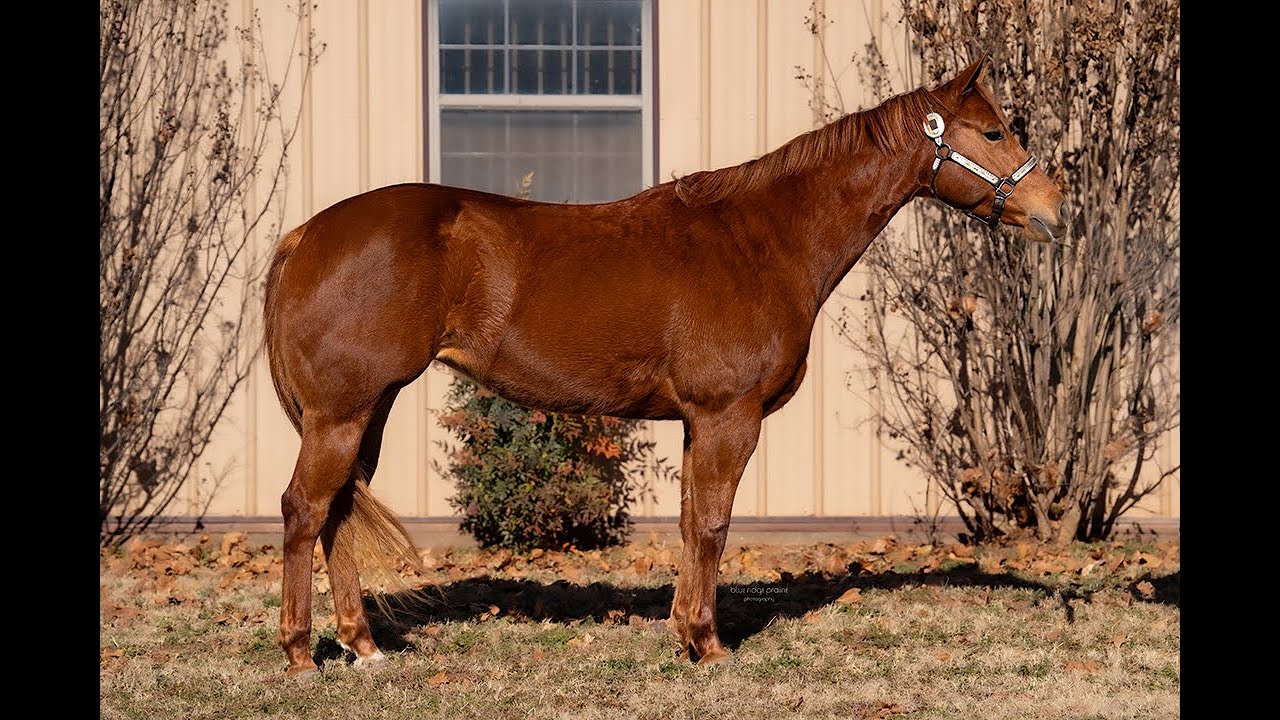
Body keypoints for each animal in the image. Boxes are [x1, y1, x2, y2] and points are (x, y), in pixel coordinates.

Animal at [262, 55, 1067, 676]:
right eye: (993, 131)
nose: (1053, 210)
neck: (763, 239)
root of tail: (306, 235)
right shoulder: (727, 416)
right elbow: (711, 524)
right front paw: (708, 646)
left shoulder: (695, 422)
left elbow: (687, 523)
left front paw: (686, 633)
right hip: (343, 411)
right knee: (304, 510)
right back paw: (301, 655)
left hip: (369, 409)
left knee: (337, 512)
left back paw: (364, 647)